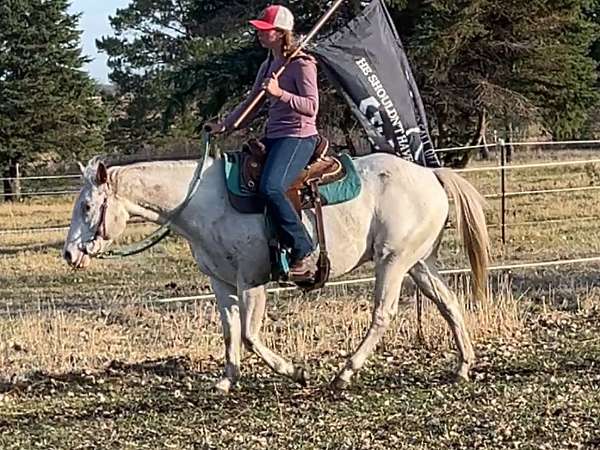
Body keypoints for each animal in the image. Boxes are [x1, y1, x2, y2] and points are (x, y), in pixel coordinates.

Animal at [63, 153, 490, 392]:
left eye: (86, 206)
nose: (69, 254)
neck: (204, 202)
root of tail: (430, 173)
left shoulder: (252, 282)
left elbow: (250, 336)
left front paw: (294, 371)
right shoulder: (221, 283)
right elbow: (230, 332)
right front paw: (226, 380)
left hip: (393, 261)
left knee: (383, 314)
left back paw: (344, 374)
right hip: (418, 262)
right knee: (449, 304)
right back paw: (463, 366)